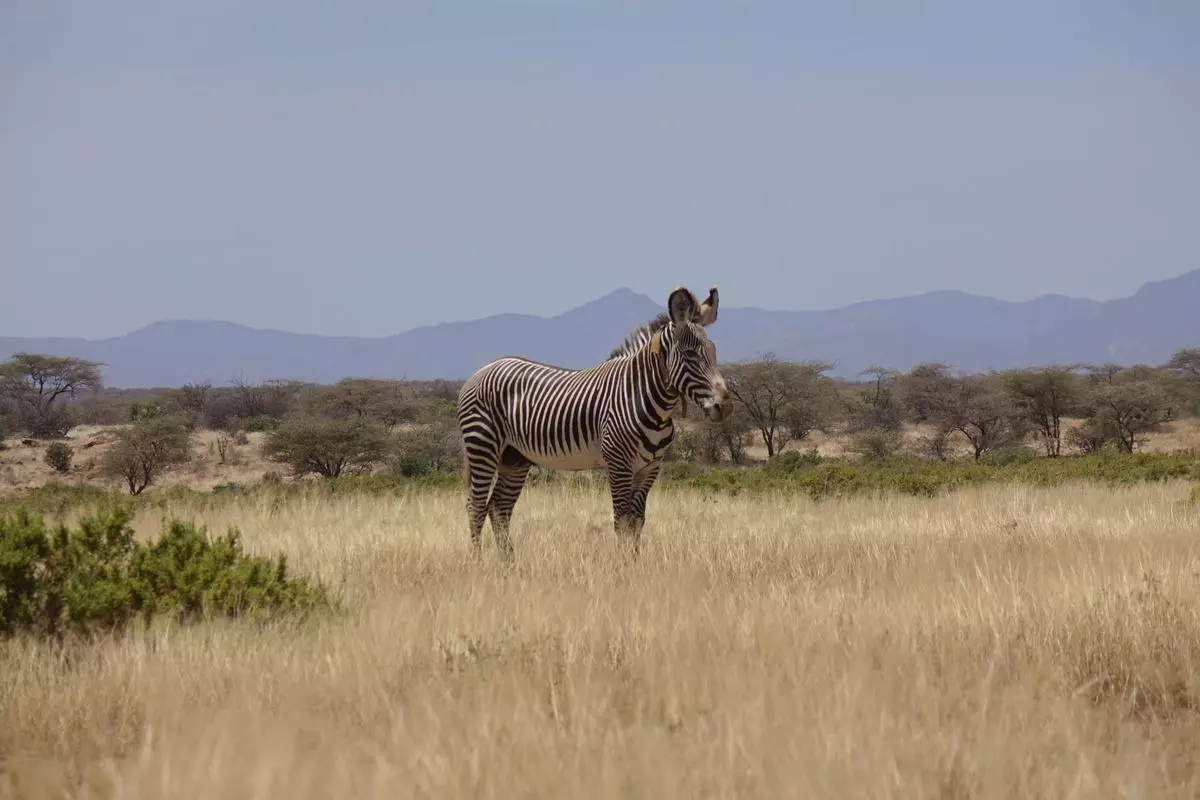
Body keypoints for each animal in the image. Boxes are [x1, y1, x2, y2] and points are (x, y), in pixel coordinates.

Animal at [455, 284, 730, 559]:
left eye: (714, 351)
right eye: (690, 354)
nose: (724, 405)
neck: (643, 397)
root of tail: (482, 370)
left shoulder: (650, 467)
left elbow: (637, 520)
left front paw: (635, 562)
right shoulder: (619, 464)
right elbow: (622, 520)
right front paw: (622, 565)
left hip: (514, 457)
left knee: (499, 508)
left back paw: (509, 563)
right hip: (483, 446)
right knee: (476, 506)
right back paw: (479, 561)